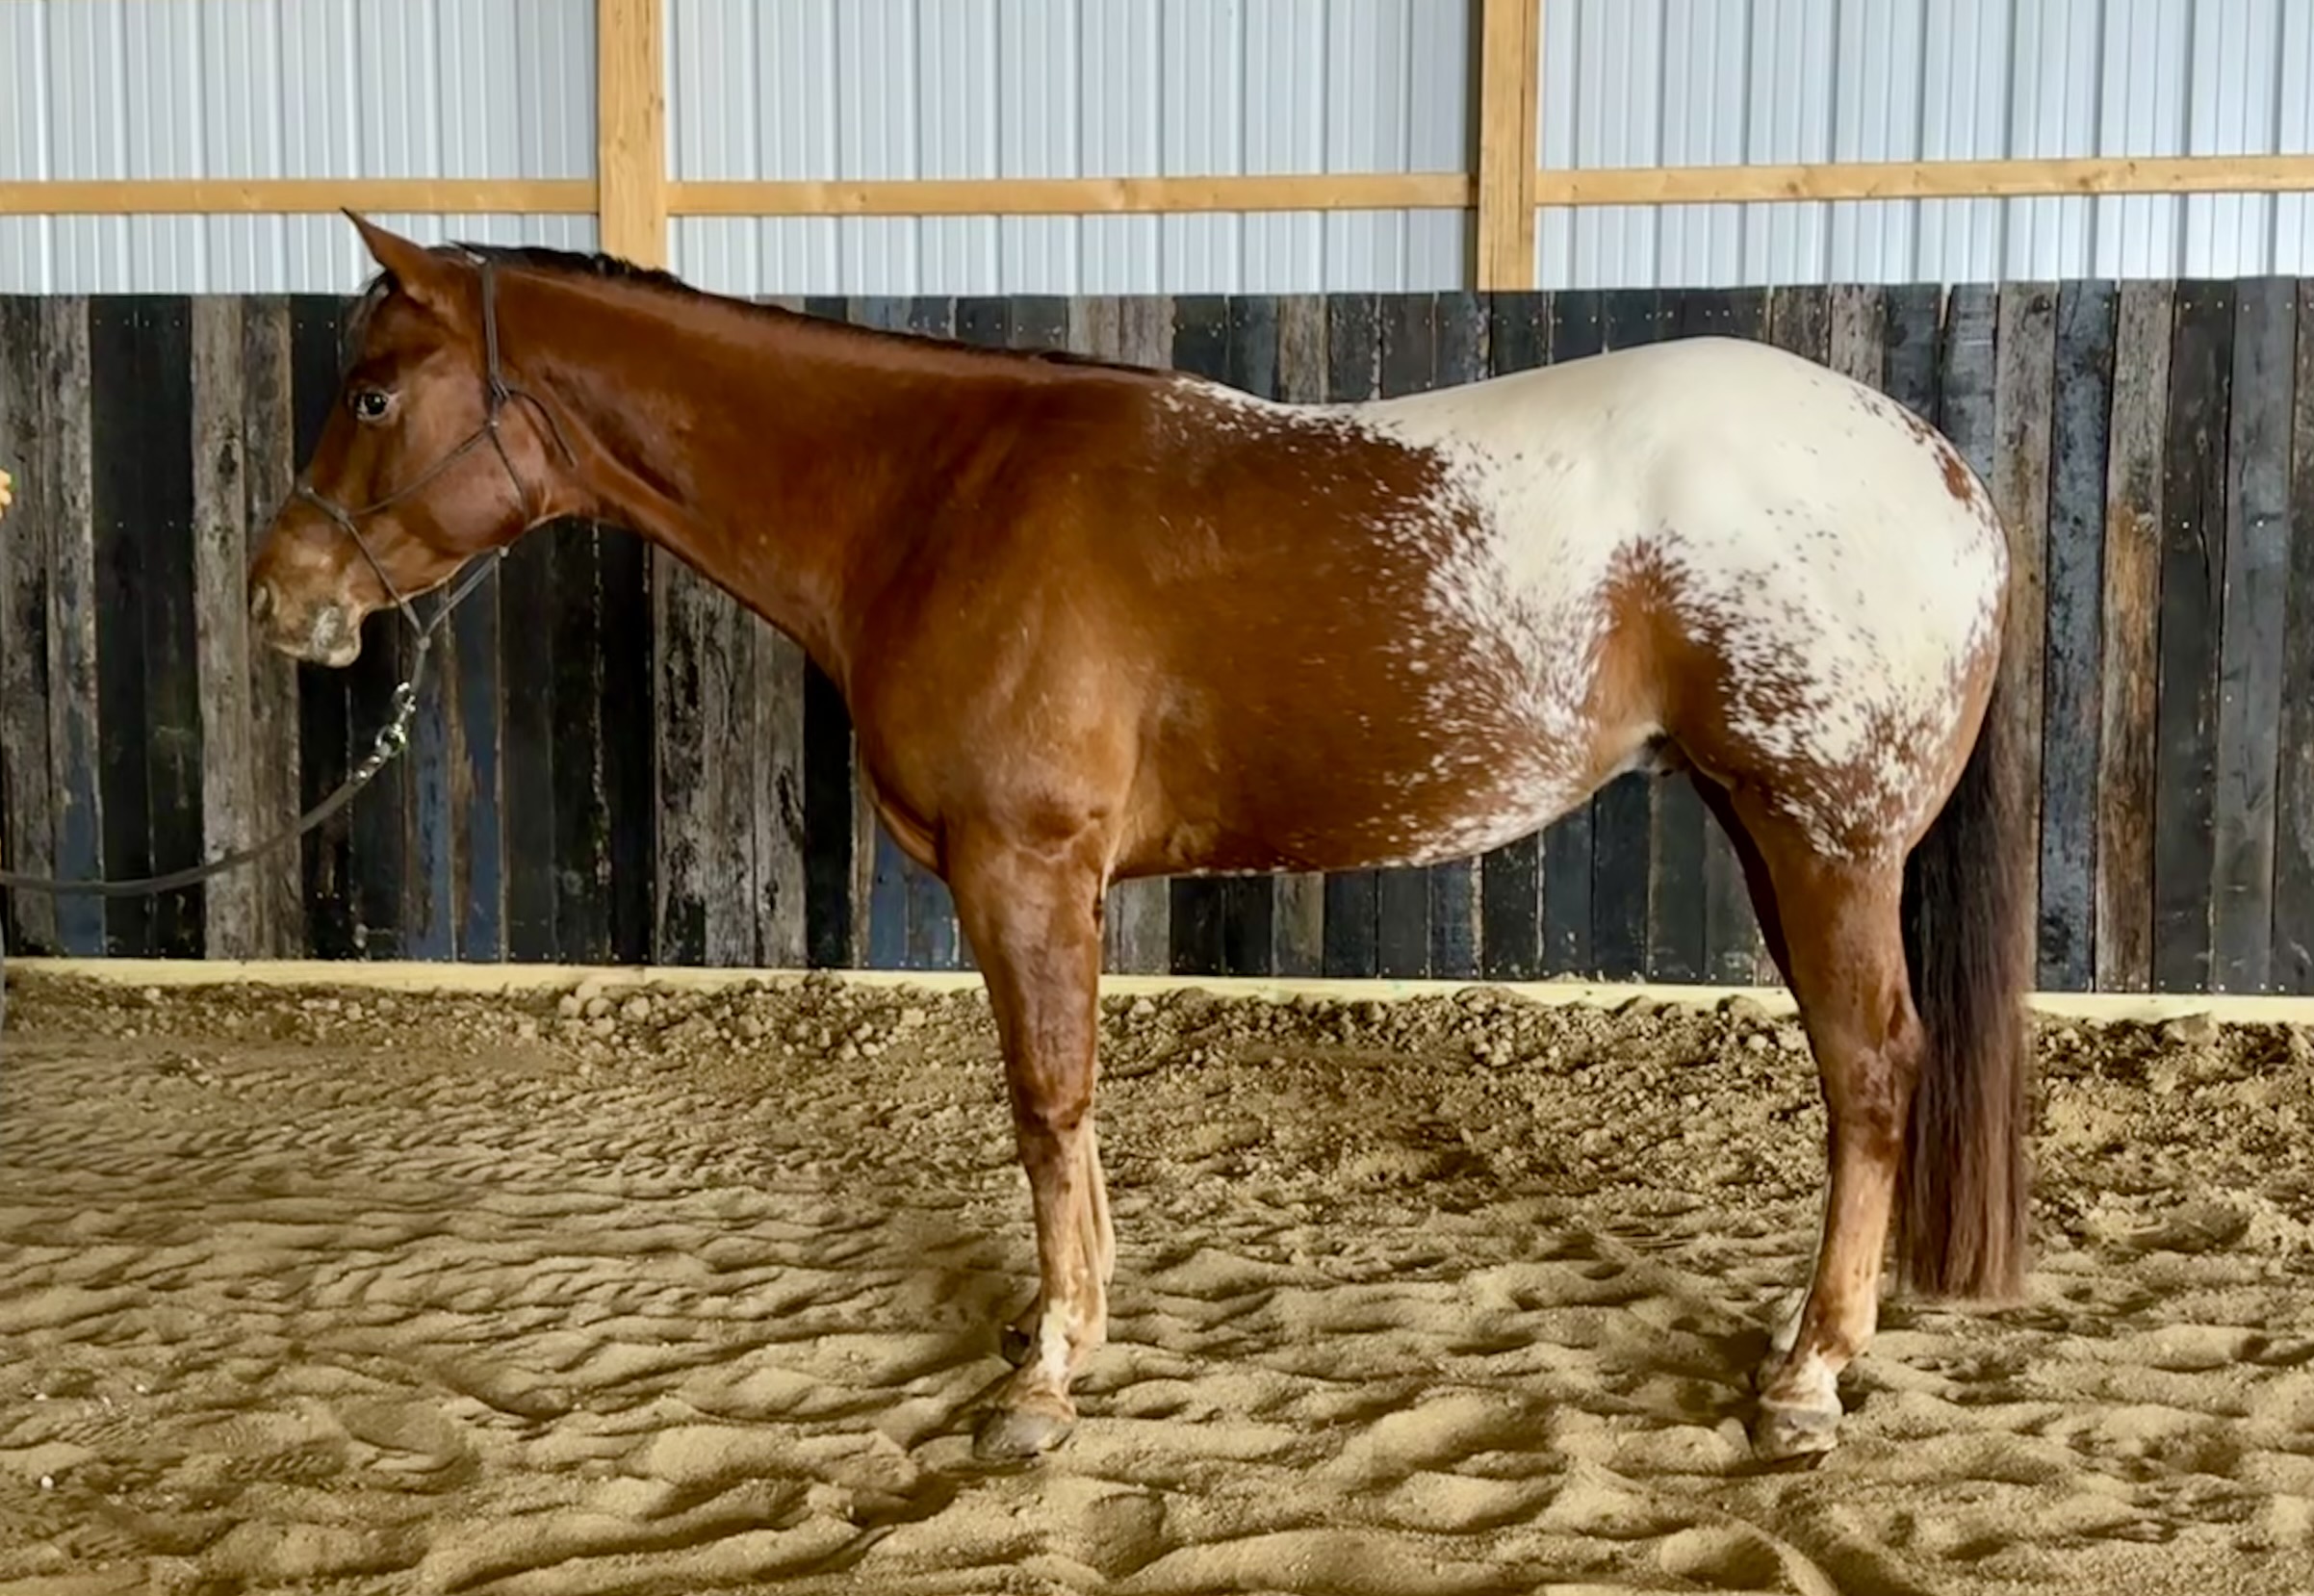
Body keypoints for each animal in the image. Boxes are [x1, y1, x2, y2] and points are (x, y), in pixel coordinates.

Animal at [247, 211, 2033, 1467]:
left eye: (372, 390)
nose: (281, 598)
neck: (933, 499)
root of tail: (1941, 471)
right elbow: (1069, 1109)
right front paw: (1074, 1327)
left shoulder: (1021, 865)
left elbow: (1045, 1103)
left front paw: (1044, 1369)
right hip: (1767, 830)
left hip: (1822, 840)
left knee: (1873, 1071)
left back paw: (1806, 1375)